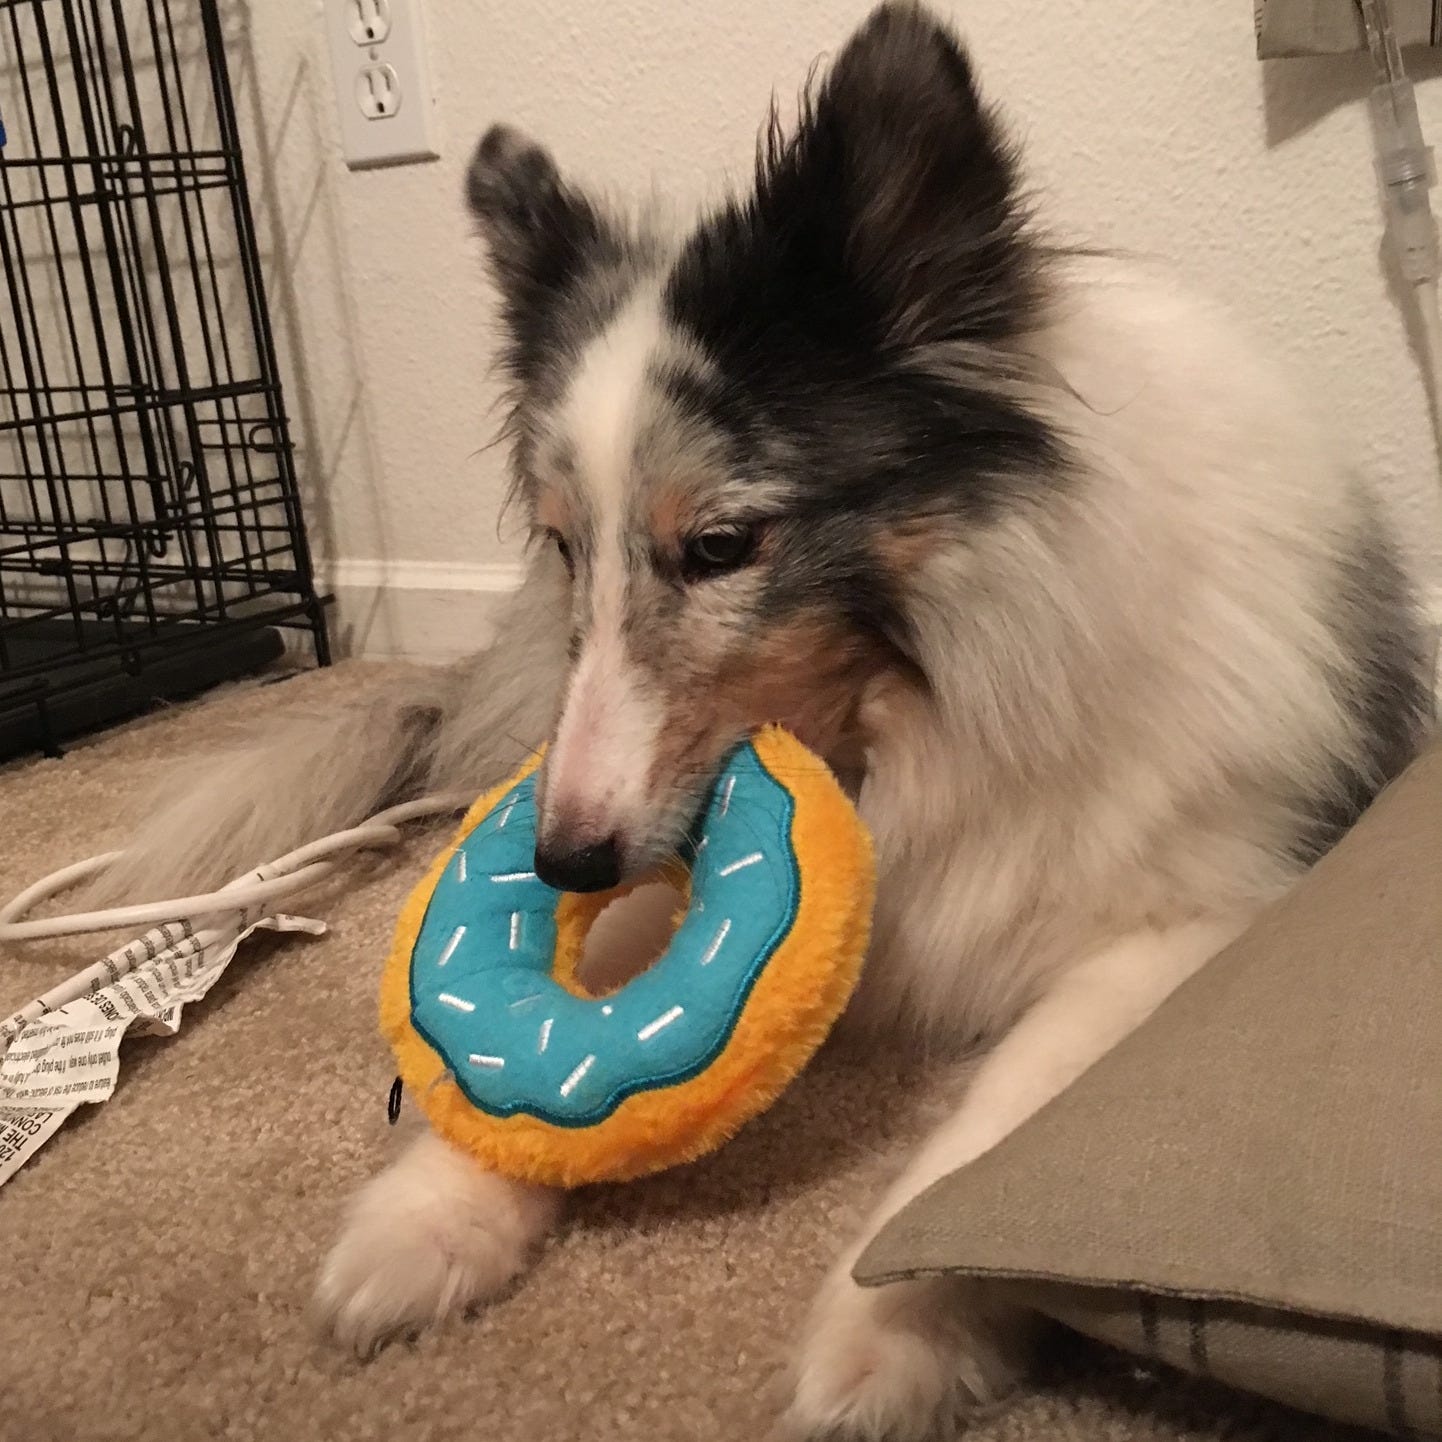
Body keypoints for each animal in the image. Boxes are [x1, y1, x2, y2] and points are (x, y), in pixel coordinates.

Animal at [101, 5, 1430, 1436]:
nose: (555, 860)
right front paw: (424, 1221)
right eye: (566, 546)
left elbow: (981, 1136)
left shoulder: (1177, 931)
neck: (930, 708)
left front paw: (883, 1331)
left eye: (721, 544)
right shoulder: (654, 830)